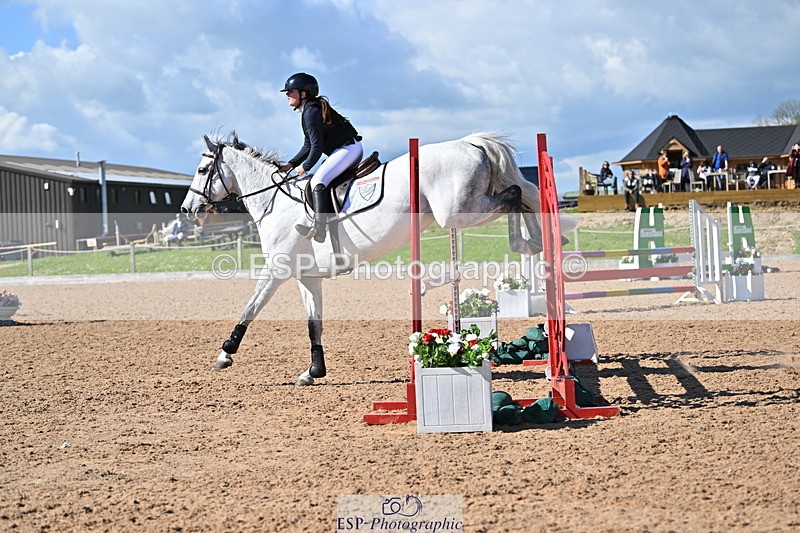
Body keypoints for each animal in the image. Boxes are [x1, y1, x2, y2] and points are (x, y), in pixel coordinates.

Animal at [181, 131, 553, 386]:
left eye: (202, 169)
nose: (187, 209)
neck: (276, 203)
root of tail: (469, 143)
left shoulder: (277, 269)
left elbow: (250, 308)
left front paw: (225, 353)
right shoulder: (307, 277)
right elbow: (314, 324)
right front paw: (313, 371)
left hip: (458, 213)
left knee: (516, 194)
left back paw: (528, 242)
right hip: (464, 210)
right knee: (521, 195)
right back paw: (534, 243)